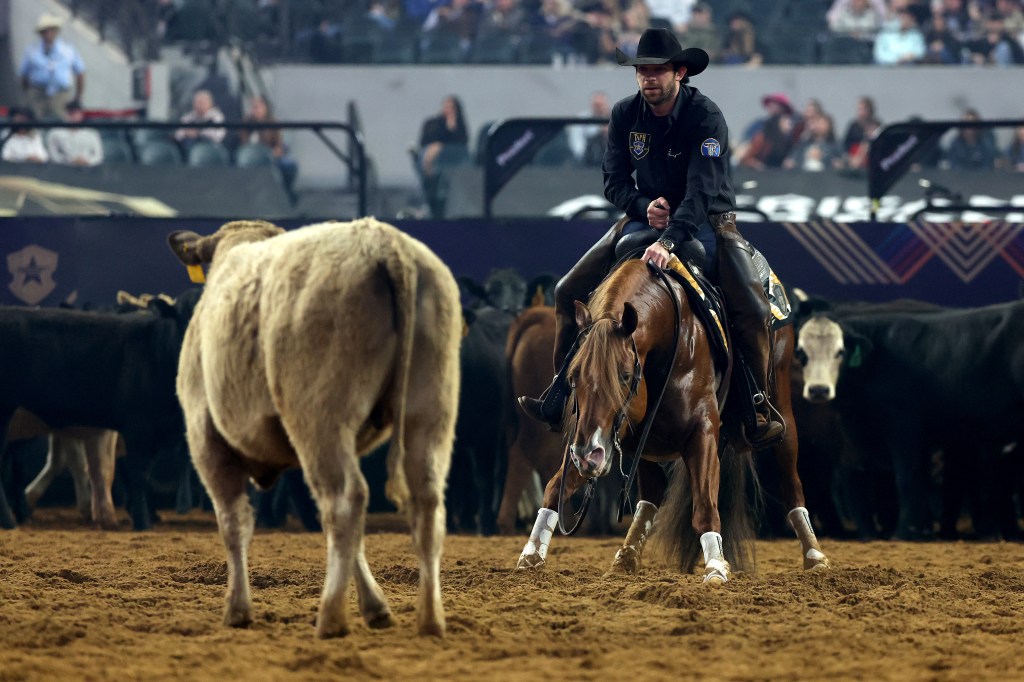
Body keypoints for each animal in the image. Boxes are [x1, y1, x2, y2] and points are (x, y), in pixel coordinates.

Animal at [168, 218, 464, 638]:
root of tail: (383, 242)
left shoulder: (205, 437)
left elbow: (233, 523)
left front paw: (237, 608)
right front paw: (376, 607)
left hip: (320, 419)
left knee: (345, 501)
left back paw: (331, 618)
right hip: (430, 410)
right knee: (424, 505)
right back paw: (430, 619)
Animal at [516, 254, 827, 577]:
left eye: (625, 376)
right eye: (573, 375)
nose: (588, 456)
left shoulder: (701, 432)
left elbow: (704, 505)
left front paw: (716, 567)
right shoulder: (598, 436)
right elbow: (554, 487)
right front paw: (531, 554)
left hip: (782, 411)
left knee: (790, 480)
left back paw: (814, 554)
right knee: (650, 496)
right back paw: (626, 557)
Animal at [798, 301, 1024, 540]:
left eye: (840, 351)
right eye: (801, 353)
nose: (818, 390)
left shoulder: (904, 426)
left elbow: (906, 476)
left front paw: (906, 531)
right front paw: (922, 529)